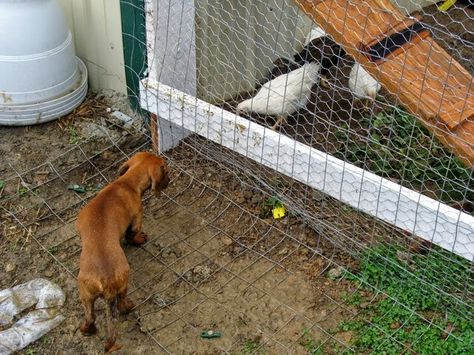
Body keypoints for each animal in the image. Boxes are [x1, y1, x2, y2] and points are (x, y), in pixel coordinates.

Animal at [75, 152, 169, 352]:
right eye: (166, 171)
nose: (171, 178)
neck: (126, 183)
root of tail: (105, 280)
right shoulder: (137, 219)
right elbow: (132, 235)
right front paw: (139, 240)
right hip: (122, 285)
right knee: (121, 306)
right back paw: (128, 306)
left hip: (86, 294)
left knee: (91, 316)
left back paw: (87, 330)